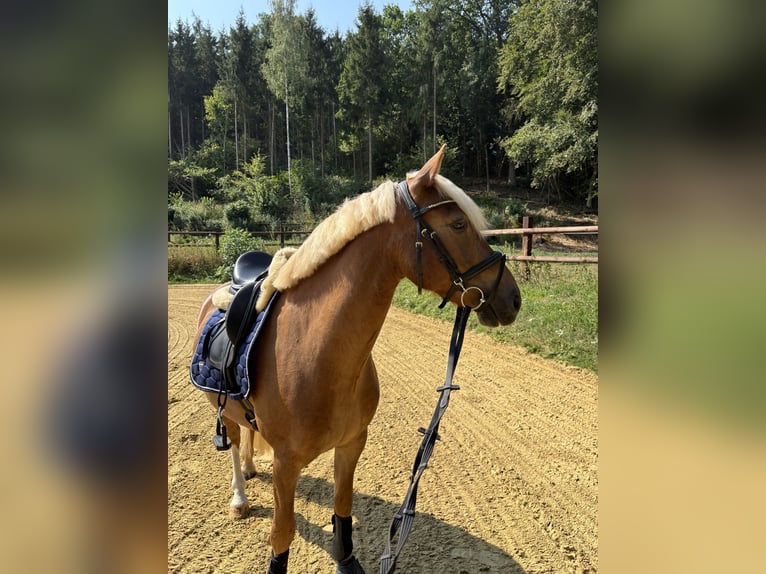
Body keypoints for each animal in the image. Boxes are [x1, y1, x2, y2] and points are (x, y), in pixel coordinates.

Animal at [191, 146, 521, 573]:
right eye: (459, 224)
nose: (513, 297)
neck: (320, 354)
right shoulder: (285, 463)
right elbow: (282, 533)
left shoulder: (351, 445)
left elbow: (343, 511)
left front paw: (347, 560)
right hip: (222, 411)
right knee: (232, 441)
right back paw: (239, 497)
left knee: (246, 435)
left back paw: (248, 468)